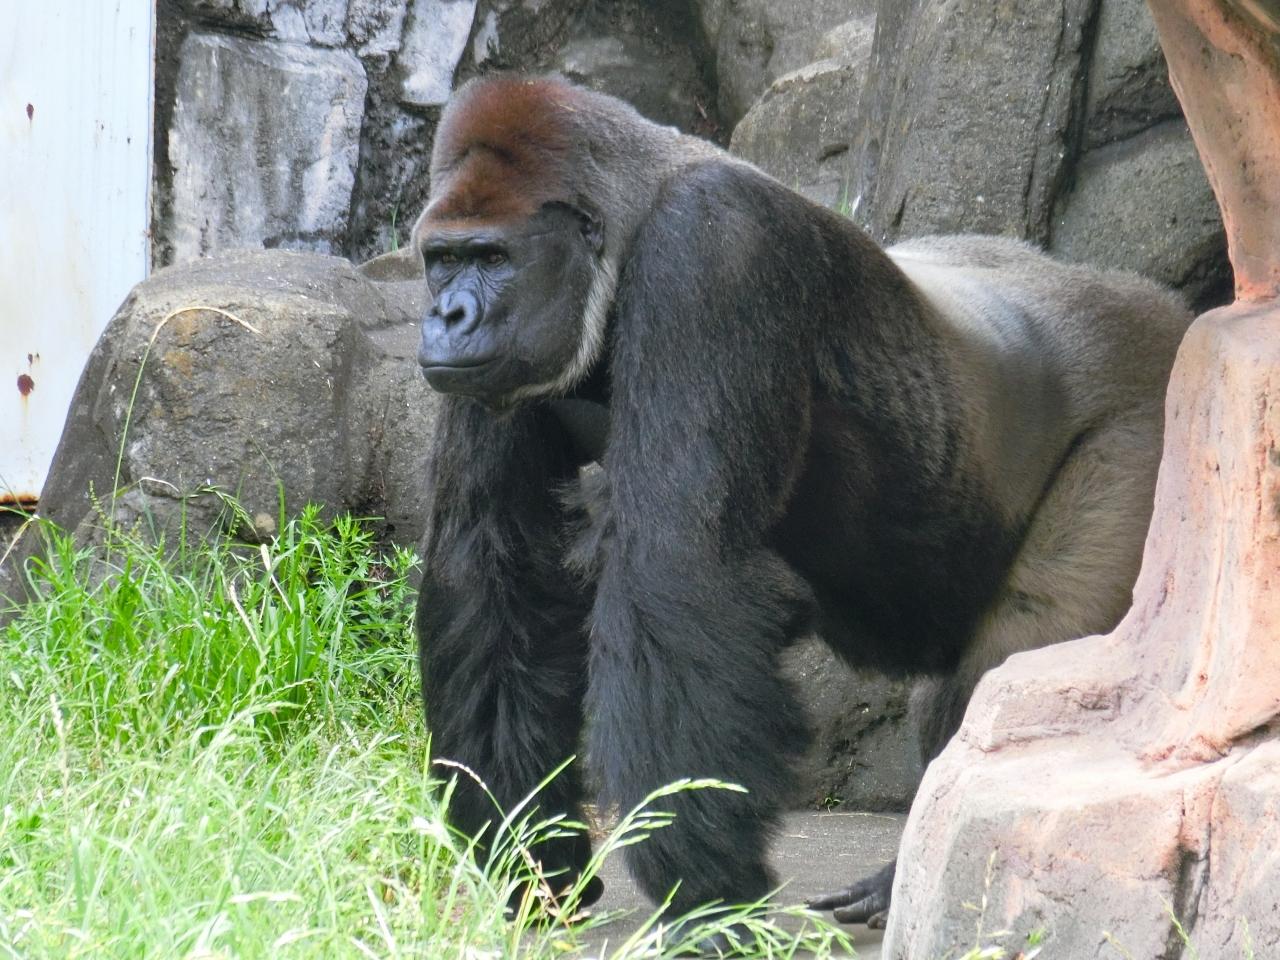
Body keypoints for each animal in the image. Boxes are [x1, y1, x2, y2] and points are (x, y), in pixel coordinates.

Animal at [414, 75, 1192, 931]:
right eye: (441, 261)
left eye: (492, 258)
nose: (446, 316)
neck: (635, 212)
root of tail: (1162, 309)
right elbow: (497, 579)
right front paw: (530, 856)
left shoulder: (716, 248)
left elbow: (675, 566)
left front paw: (706, 892)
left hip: (1155, 420)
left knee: (1022, 666)